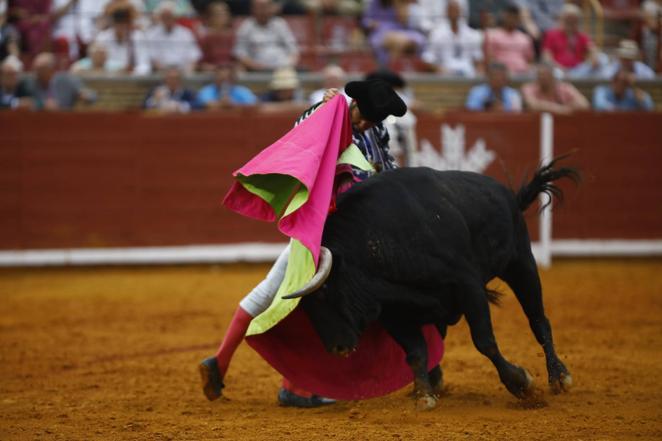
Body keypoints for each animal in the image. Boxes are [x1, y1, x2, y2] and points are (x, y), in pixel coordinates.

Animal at [286, 160, 580, 408]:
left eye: (323, 292)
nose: (336, 349)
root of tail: (507, 195)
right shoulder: (393, 313)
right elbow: (416, 352)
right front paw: (423, 394)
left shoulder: (468, 285)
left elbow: (484, 341)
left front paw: (520, 383)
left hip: (520, 263)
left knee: (539, 321)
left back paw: (558, 377)